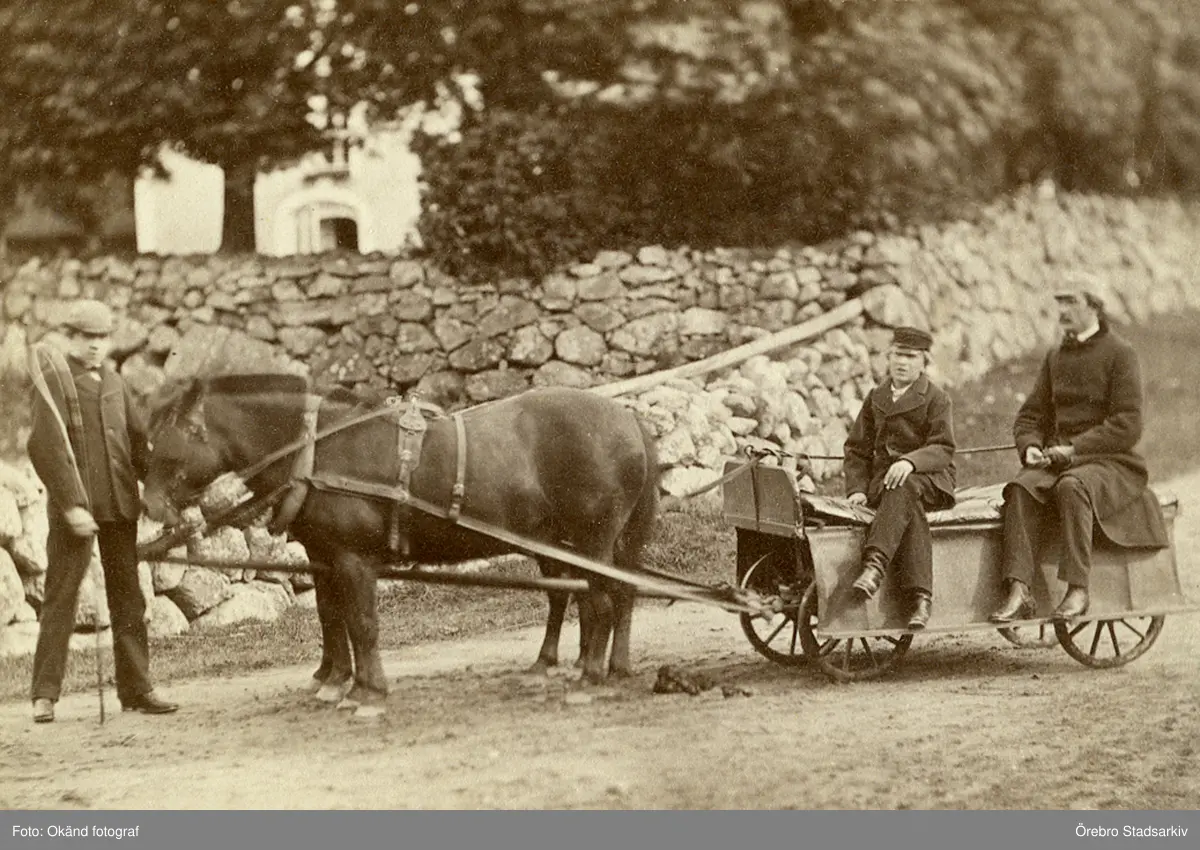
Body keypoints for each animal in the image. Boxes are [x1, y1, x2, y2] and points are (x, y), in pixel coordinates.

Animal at [140, 374, 660, 718]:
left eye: (170, 441)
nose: (150, 507)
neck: (315, 448)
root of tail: (628, 416)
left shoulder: (353, 559)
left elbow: (363, 622)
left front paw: (368, 692)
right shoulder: (325, 557)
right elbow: (333, 617)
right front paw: (335, 680)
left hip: (592, 540)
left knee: (600, 602)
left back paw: (589, 676)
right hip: (562, 540)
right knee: (602, 595)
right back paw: (592, 666)